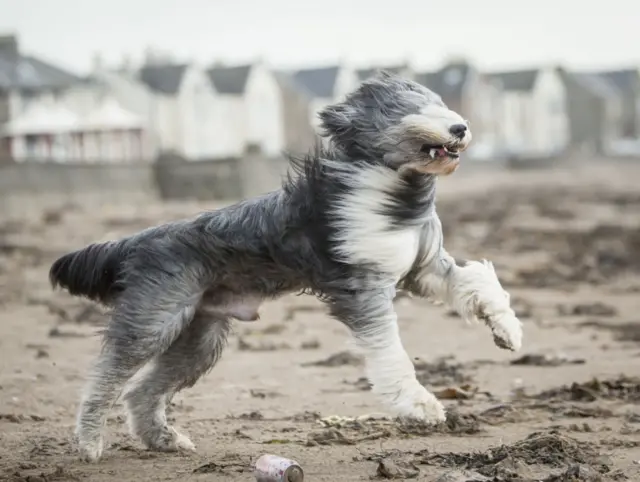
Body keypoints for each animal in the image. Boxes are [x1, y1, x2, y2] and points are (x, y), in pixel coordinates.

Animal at [48, 72, 520, 464]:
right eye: (411, 108)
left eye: (439, 103)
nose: (460, 127)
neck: (393, 190)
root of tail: (141, 239)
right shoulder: (364, 286)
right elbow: (390, 350)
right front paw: (419, 404)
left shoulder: (423, 268)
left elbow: (478, 280)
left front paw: (507, 330)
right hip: (156, 318)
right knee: (106, 377)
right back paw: (89, 443)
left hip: (199, 339)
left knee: (141, 392)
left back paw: (164, 440)